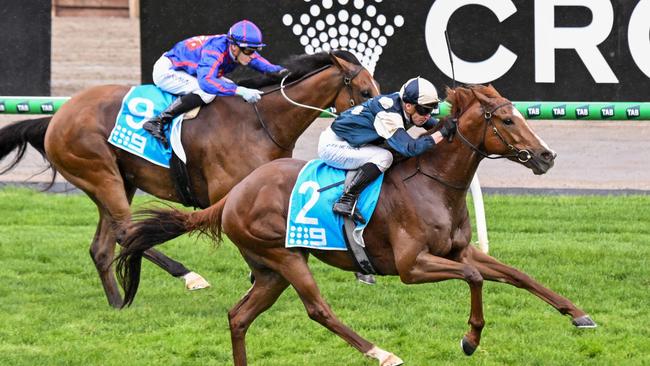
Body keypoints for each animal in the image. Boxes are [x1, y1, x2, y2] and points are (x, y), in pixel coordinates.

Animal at [0, 50, 378, 308]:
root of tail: (57, 116)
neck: (260, 122)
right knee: (126, 232)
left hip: (120, 181)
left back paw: (118, 302)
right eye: (364, 92)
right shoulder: (229, 195)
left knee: (102, 247)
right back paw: (188, 276)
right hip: (101, 174)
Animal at [115, 84, 592, 364]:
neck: (434, 183)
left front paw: (578, 314)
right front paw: (470, 339)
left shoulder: (459, 250)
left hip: (269, 272)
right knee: (318, 309)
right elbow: (475, 277)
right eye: (508, 119)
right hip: (285, 257)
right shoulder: (411, 266)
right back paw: (382, 352)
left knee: (238, 317)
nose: (547, 156)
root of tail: (233, 195)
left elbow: (516, 274)